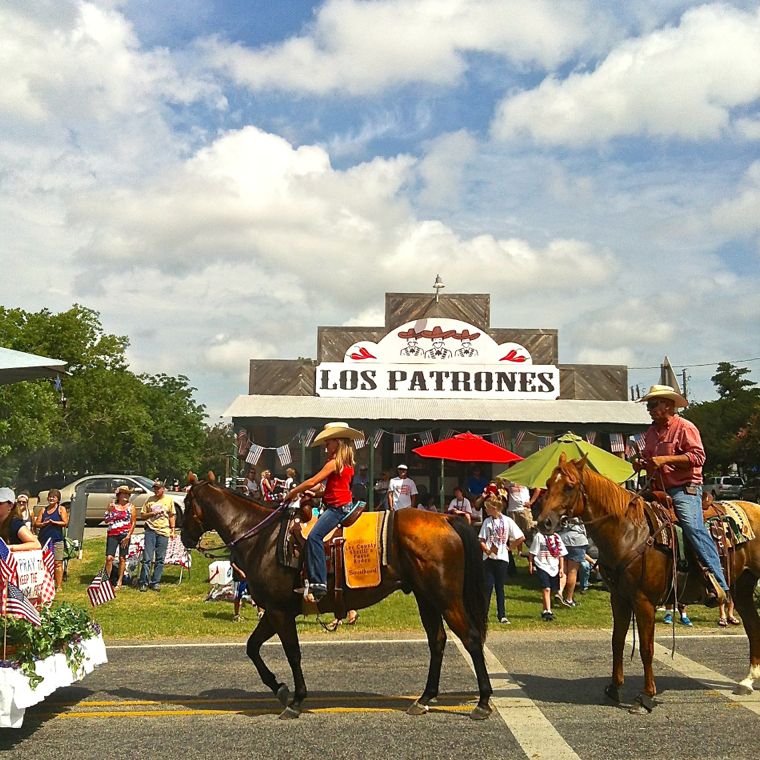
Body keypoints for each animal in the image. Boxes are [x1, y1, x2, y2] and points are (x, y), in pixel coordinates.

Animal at [183, 478, 492, 720]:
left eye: (185, 504)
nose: (185, 538)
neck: (263, 538)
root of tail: (445, 518)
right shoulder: (274, 612)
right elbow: (252, 647)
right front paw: (280, 688)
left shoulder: (279, 611)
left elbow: (292, 653)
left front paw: (296, 699)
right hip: (426, 597)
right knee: (437, 641)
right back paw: (425, 698)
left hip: (446, 598)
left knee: (471, 639)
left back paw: (483, 702)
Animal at [536, 454, 760, 708]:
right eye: (548, 483)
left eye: (569, 486)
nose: (544, 522)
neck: (629, 533)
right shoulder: (619, 599)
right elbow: (617, 641)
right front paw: (614, 687)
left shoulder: (644, 602)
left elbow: (646, 648)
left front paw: (647, 694)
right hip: (742, 588)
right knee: (753, 625)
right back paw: (747, 681)